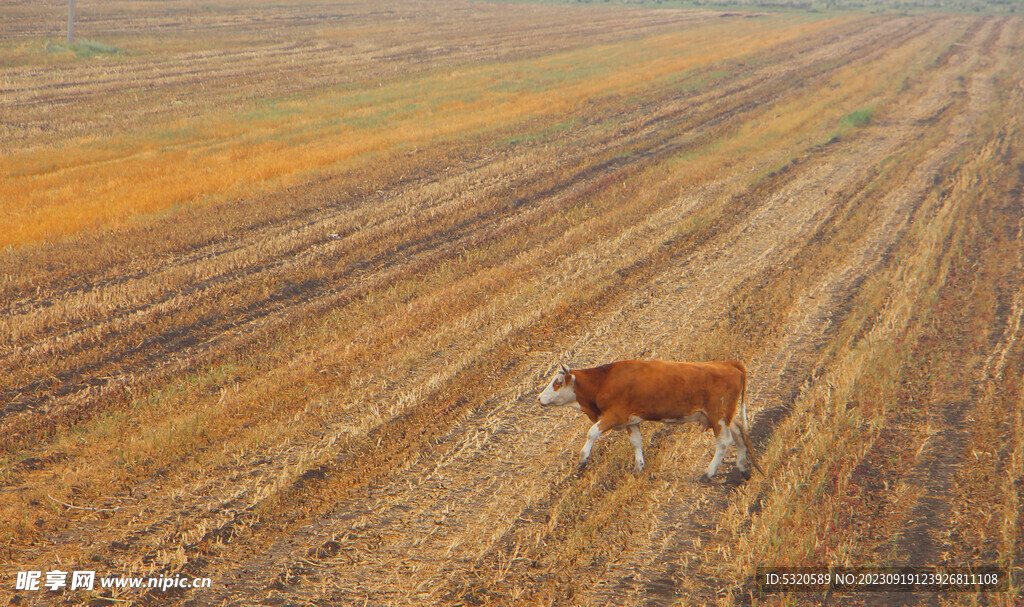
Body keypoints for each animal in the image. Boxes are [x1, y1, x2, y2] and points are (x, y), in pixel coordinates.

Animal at [536, 358, 761, 481]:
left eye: (557, 382)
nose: (539, 398)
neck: (604, 380)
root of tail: (727, 364)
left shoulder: (614, 415)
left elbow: (592, 433)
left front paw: (582, 461)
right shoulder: (631, 420)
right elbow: (636, 443)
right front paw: (639, 468)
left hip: (717, 416)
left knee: (724, 442)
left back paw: (708, 473)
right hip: (727, 416)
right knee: (739, 435)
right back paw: (742, 468)